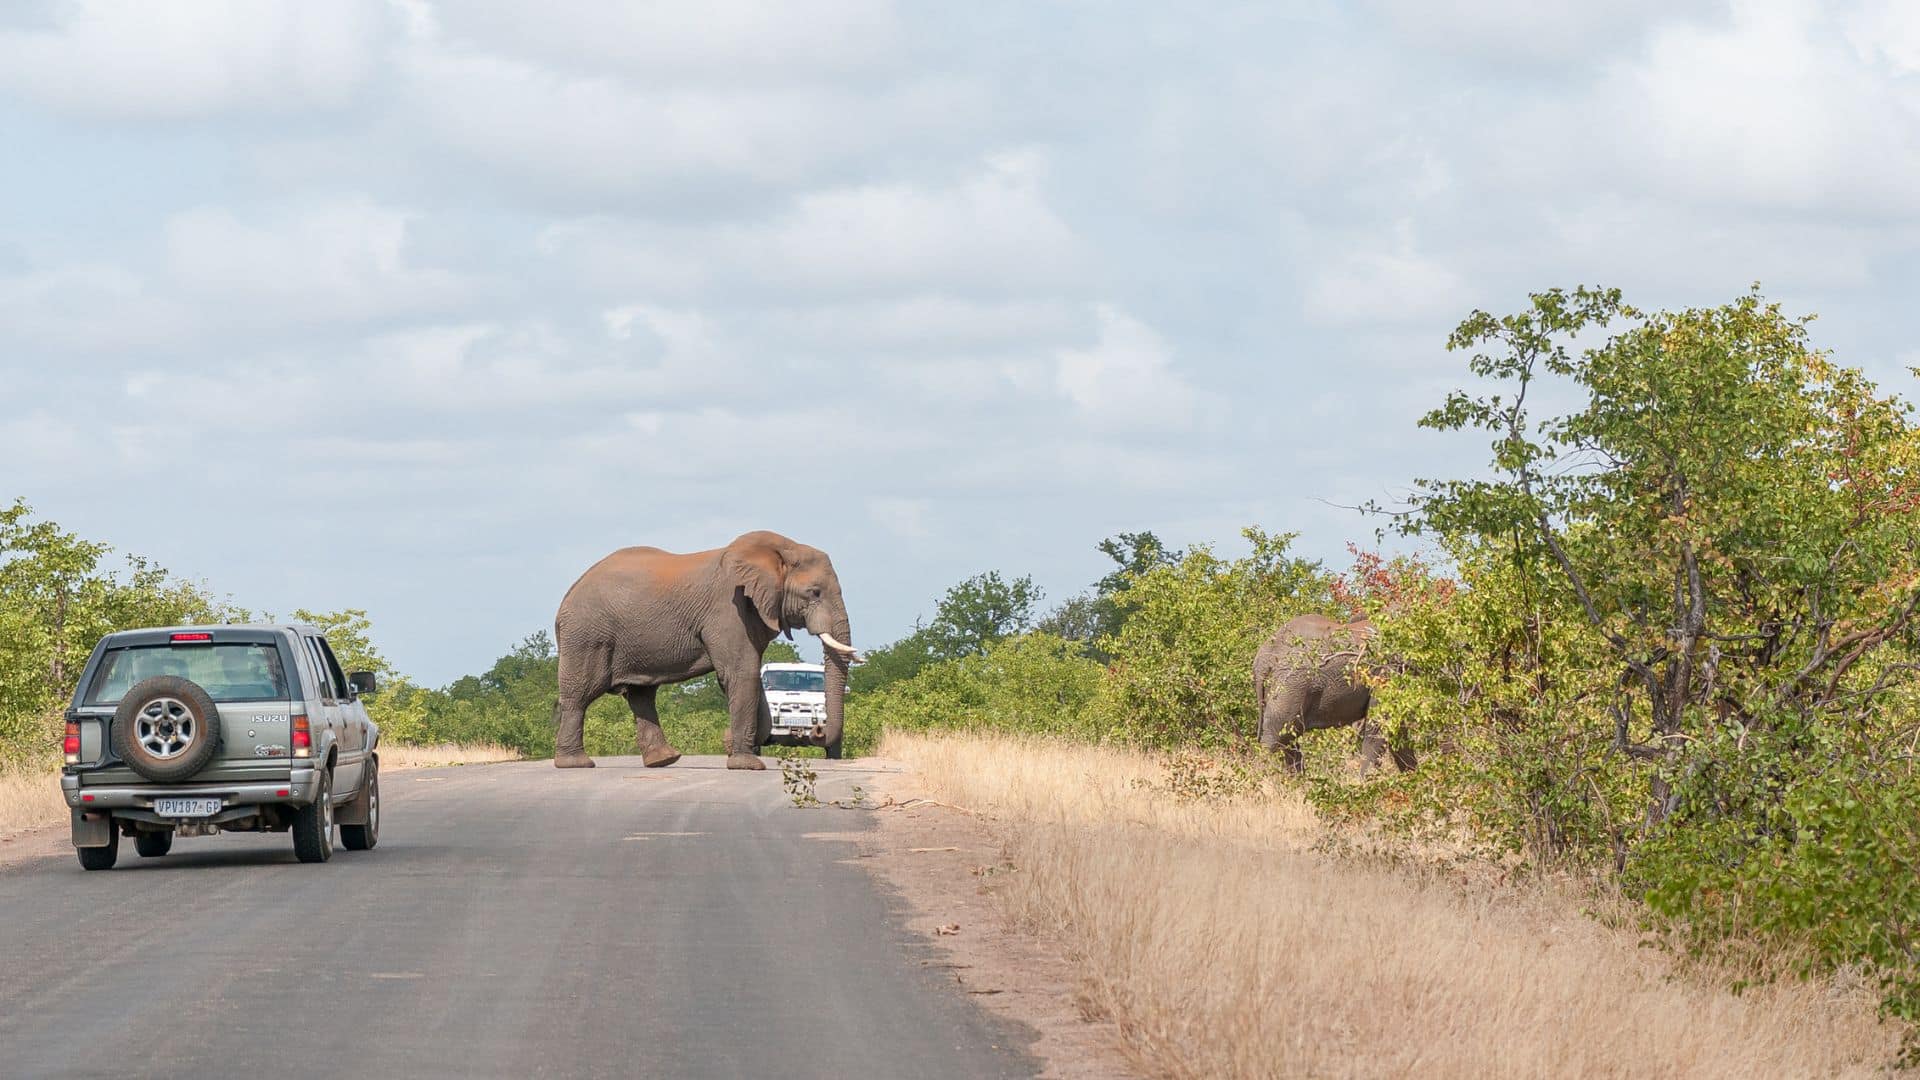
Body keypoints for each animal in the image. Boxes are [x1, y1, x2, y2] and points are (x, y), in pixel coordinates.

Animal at [552, 530, 858, 771]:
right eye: (814, 592)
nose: (815, 729)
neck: (781, 550)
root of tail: (567, 595)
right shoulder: (729, 608)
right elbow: (741, 673)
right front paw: (747, 765)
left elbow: (749, 676)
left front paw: (735, 747)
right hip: (588, 635)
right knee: (581, 693)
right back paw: (576, 764)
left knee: (641, 694)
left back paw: (664, 760)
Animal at [1253, 613, 1415, 775]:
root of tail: (1263, 660)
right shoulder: (1387, 670)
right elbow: (1381, 725)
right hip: (1291, 683)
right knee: (1278, 736)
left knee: (1289, 737)